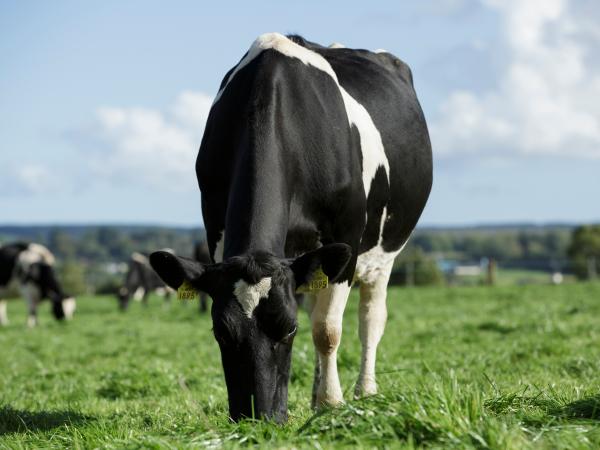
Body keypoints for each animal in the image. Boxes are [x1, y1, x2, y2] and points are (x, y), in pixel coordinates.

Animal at [149, 34, 432, 422]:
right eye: (221, 332)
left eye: (289, 328)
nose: (259, 419)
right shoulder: (217, 233)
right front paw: (320, 398)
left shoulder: (345, 239)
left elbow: (326, 330)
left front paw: (330, 403)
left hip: (383, 254)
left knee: (370, 319)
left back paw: (364, 391)